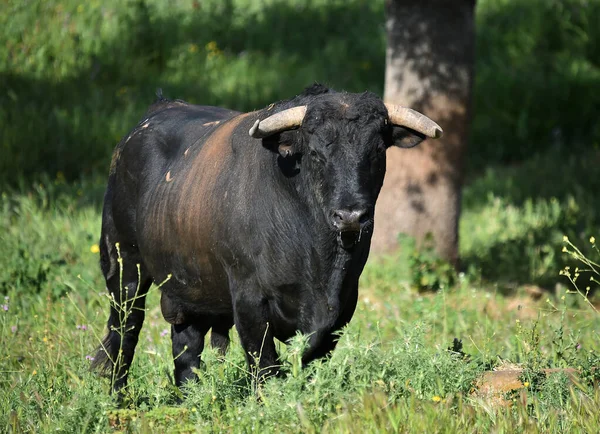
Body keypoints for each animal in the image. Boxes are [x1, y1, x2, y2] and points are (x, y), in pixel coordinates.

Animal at [94, 84, 440, 390]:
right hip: (123, 267)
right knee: (124, 334)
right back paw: (118, 398)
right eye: (315, 153)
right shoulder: (249, 299)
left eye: (377, 151)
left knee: (186, 353)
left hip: (188, 289)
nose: (351, 216)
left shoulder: (343, 305)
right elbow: (265, 367)